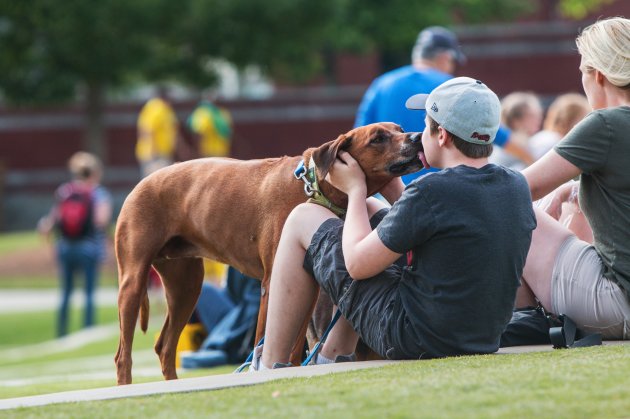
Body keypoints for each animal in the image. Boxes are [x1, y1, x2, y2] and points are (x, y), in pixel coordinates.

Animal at [116, 120, 428, 384]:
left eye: (400, 130)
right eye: (378, 138)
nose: (416, 137)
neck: (314, 188)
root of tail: (142, 183)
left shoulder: (306, 286)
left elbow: (295, 343)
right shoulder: (272, 282)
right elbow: (264, 336)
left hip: (186, 287)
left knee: (165, 347)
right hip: (133, 283)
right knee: (123, 355)